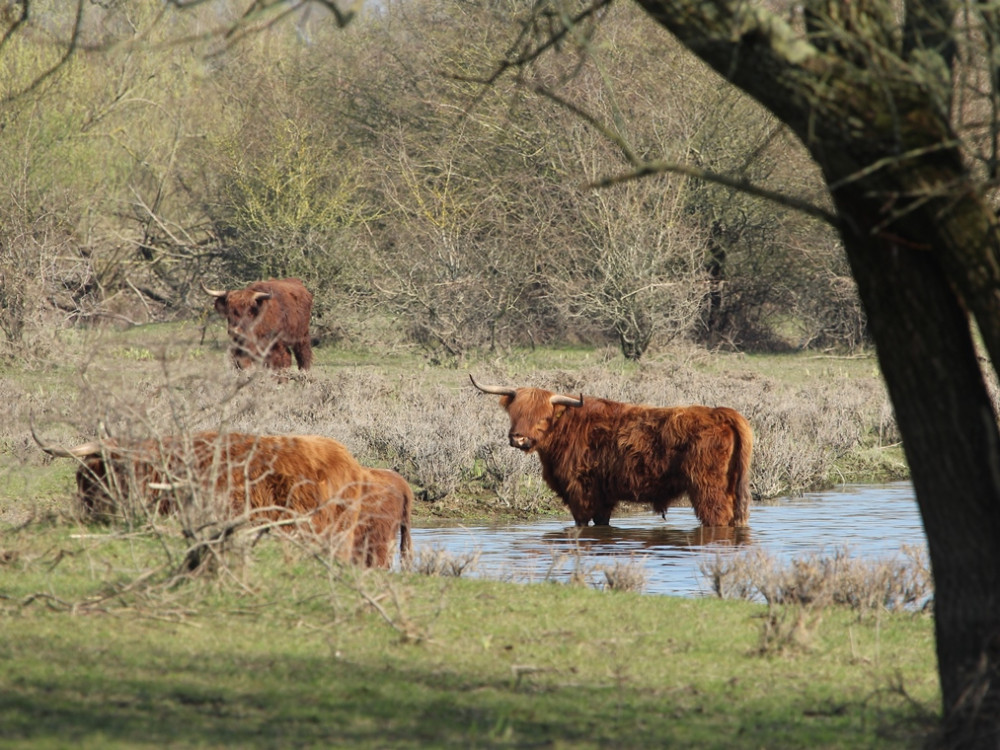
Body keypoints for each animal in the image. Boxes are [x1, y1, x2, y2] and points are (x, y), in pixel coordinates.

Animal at [472, 376, 752, 528]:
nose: (518, 438)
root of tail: (721, 413)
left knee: (717, 518)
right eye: (514, 413)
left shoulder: (581, 491)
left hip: (708, 488)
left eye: (543, 417)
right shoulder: (603, 497)